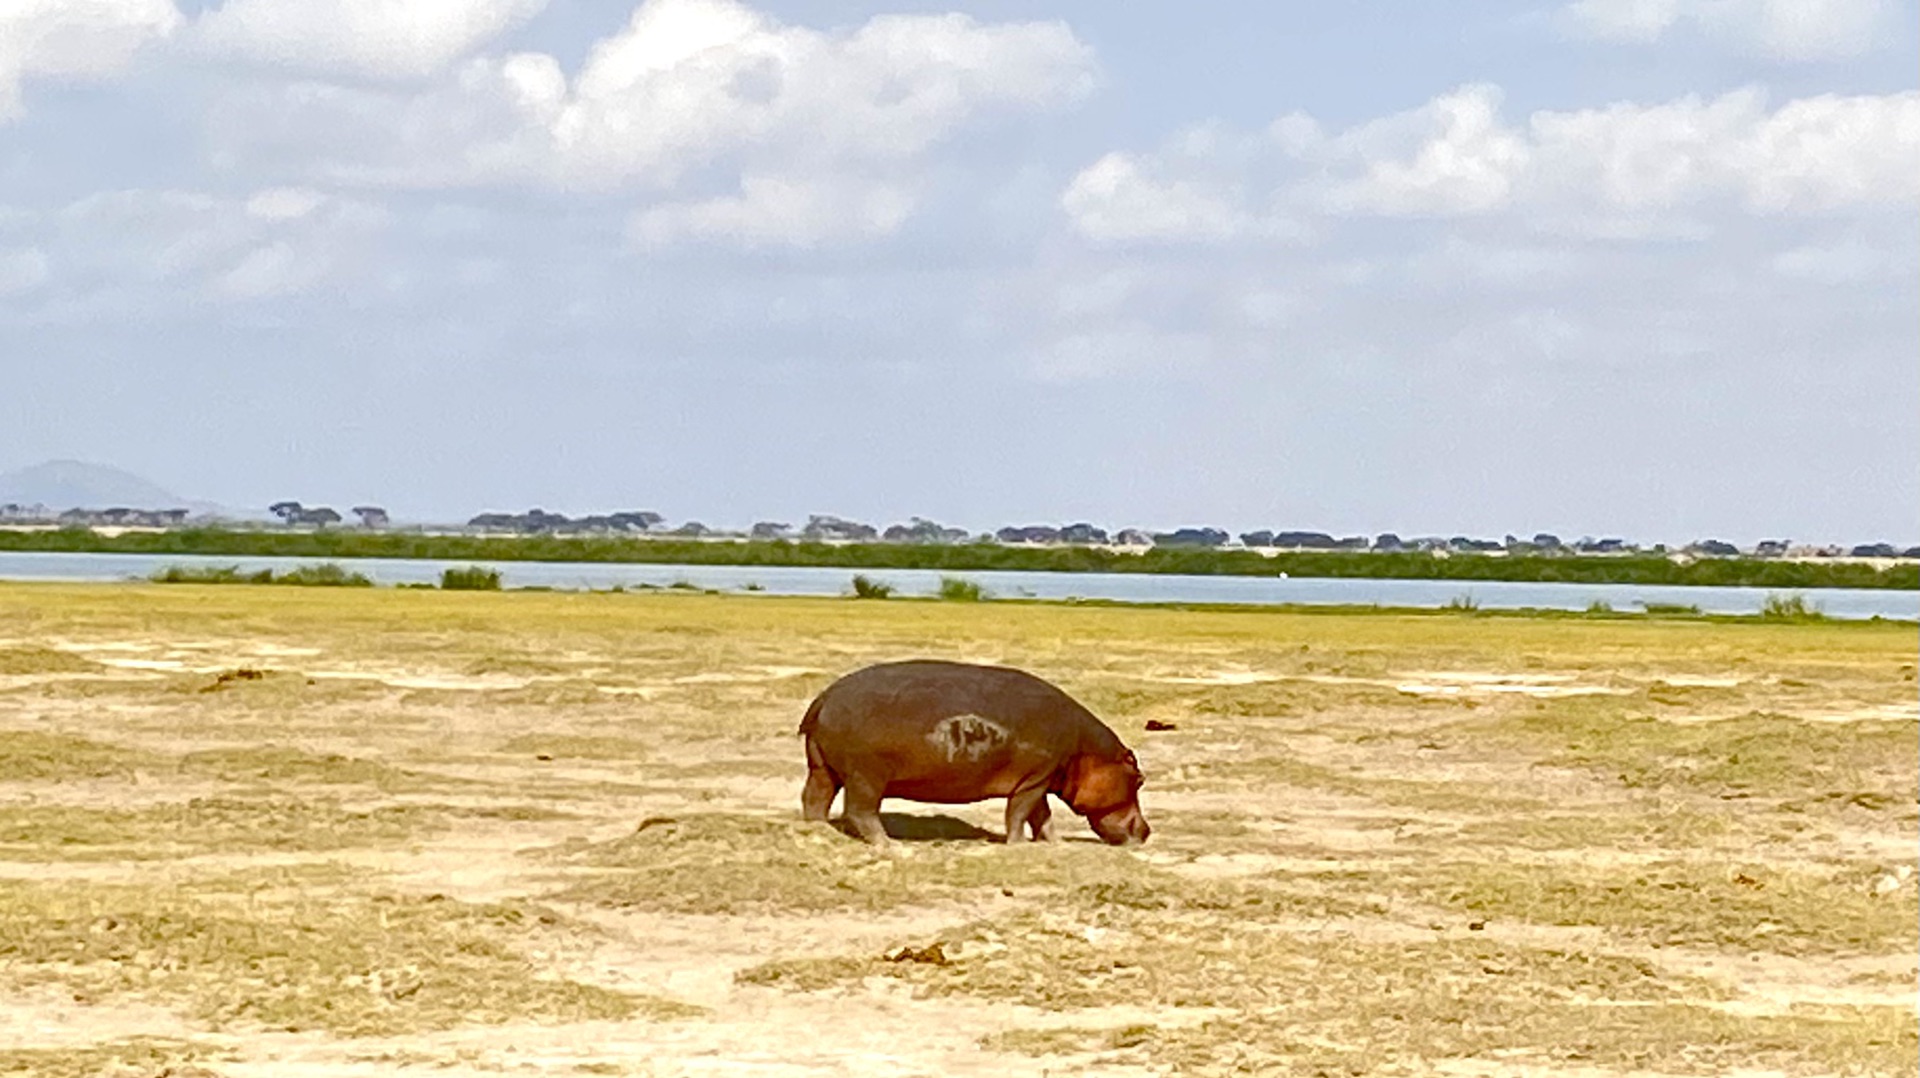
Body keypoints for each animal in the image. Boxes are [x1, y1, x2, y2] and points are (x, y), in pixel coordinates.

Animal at [798, 661, 1152, 845]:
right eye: (1140, 779)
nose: (1147, 830)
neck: (1085, 750)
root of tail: (825, 696)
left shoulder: (1039, 780)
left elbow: (1041, 816)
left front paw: (1055, 844)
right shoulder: (1034, 779)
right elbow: (1019, 813)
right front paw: (1017, 844)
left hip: (823, 767)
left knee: (815, 798)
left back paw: (817, 830)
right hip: (866, 776)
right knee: (861, 811)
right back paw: (889, 845)